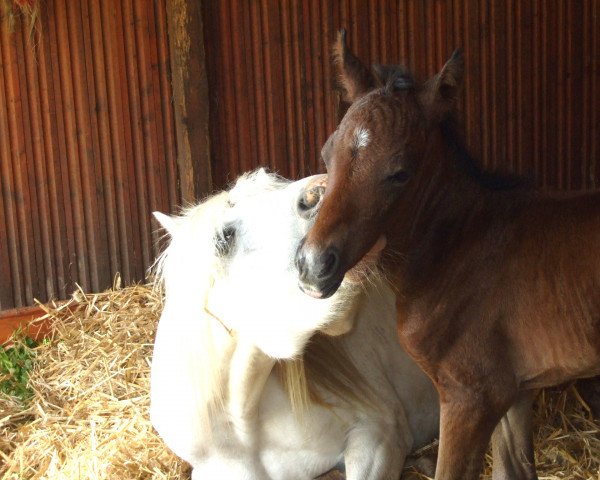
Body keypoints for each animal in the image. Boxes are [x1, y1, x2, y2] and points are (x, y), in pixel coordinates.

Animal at [296, 31, 600, 480]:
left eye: (400, 173)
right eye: (326, 153)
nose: (314, 265)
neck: (457, 248)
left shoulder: (471, 397)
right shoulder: (513, 392)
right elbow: (513, 467)